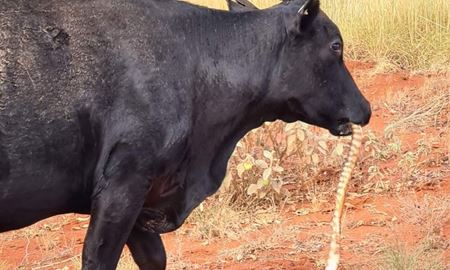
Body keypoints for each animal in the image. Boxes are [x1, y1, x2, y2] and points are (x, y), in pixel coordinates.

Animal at [0, 0, 370, 268]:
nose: (366, 108)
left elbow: (155, 259)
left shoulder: (143, 201)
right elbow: (98, 257)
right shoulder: (123, 184)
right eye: (335, 46)